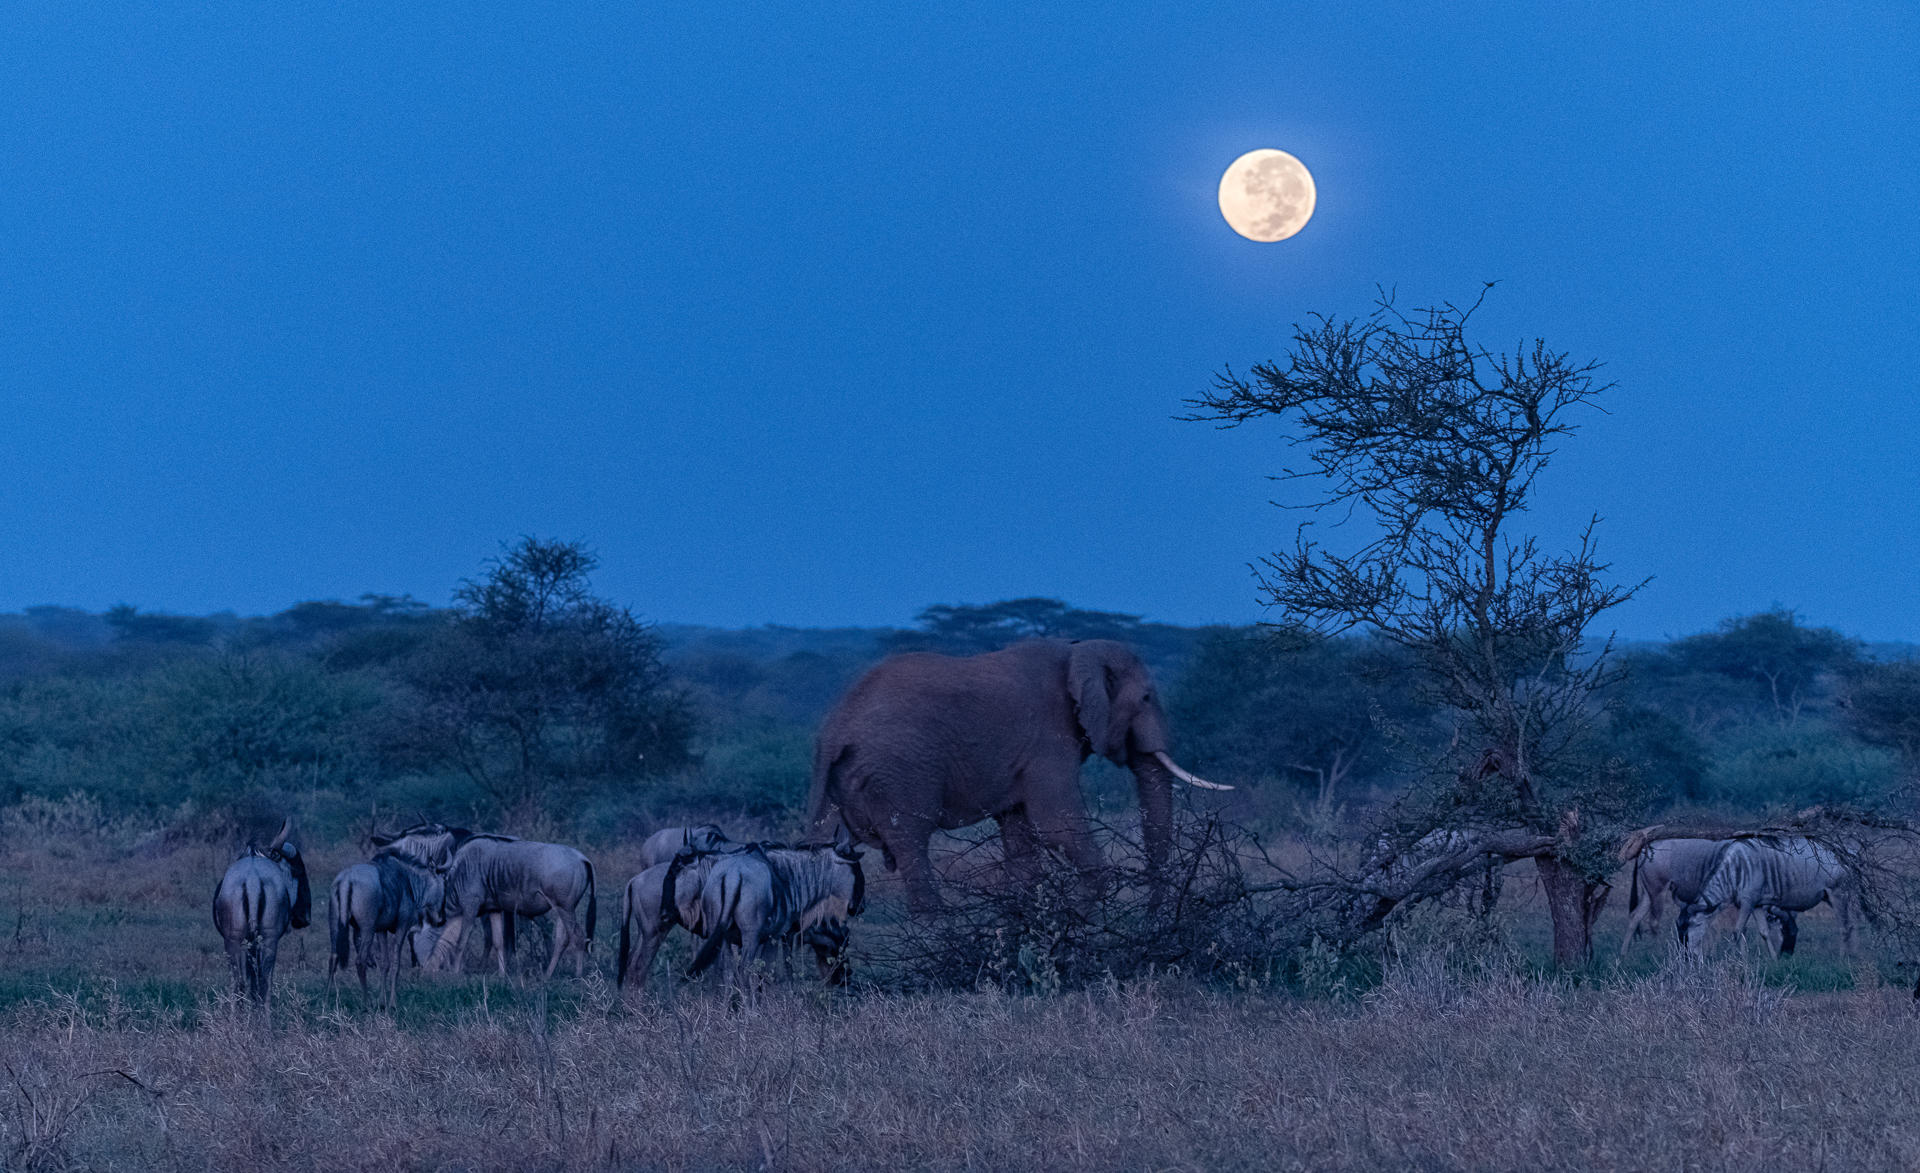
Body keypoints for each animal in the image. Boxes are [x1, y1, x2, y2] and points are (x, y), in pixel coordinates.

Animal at [798, 637, 1221, 913]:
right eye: (1147, 698)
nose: (1153, 915)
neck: (1076, 651)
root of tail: (833, 730)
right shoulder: (1049, 739)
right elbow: (1057, 827)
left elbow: (1022, 844)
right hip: (898, 773)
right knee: (913, 848)